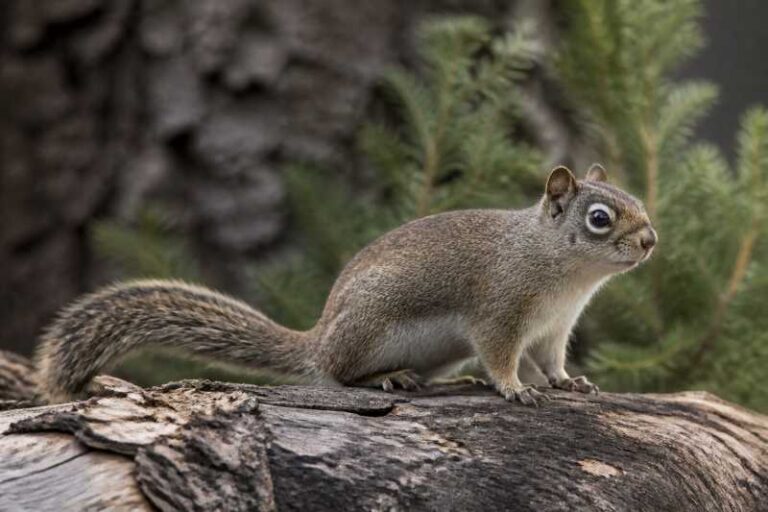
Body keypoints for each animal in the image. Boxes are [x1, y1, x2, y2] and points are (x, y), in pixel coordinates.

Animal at [35, 164, 657, 406]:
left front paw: (569, 382)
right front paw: (514, 389)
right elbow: (503, 358)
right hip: (370, 326)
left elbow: (551, 361)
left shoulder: (555, 328)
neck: (564, 274)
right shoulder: (499, 313)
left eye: (637, 200)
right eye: (600, 218)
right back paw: (386, 378)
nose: (651, 240)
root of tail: (319, 336)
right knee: (335, 374)